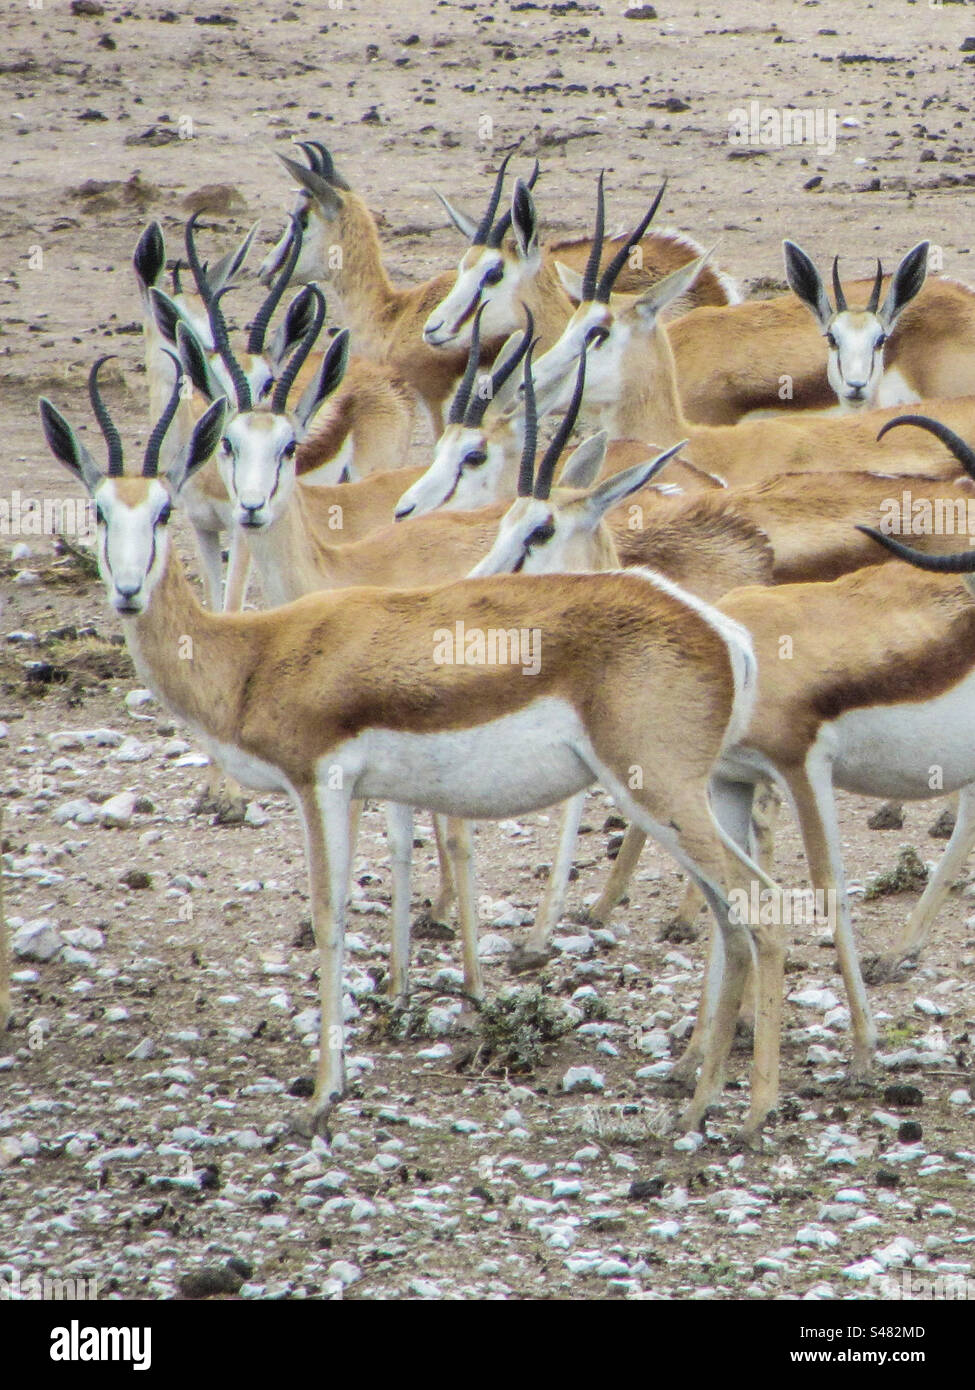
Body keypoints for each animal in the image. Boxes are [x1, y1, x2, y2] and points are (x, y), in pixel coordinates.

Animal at [39, 353, 784, 1134]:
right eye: (99, 510)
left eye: (161, 512)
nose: (126, 591)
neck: (253, 655)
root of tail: (718, 630)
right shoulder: (362, 793)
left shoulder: (318, 784)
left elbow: (329, 918)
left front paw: (323, 1095)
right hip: (700, 795)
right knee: (731, 914)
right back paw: (698, 1087)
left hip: (659, 790)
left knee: (756, 907)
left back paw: (743, 1109)